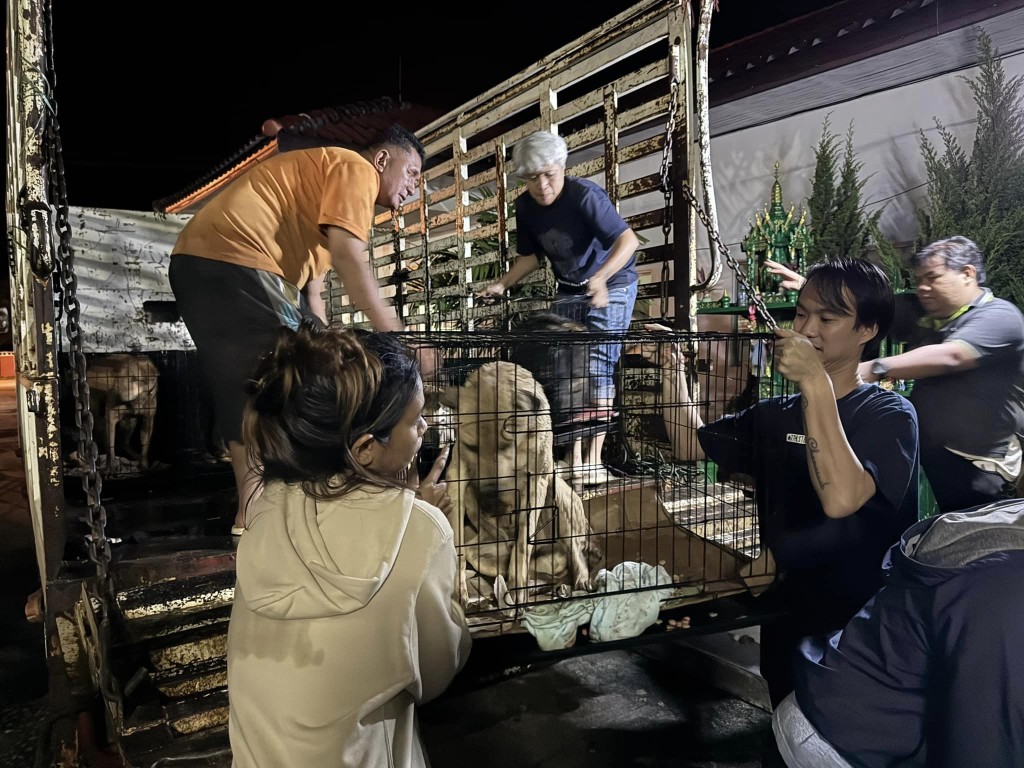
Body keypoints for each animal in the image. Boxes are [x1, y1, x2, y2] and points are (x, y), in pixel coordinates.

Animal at [440, 362, 598, 606]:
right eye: (471, 447)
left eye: (505, 445)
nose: (489, 500)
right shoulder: (458, 480)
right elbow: (458, 543)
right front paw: (459, 591)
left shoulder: (537, 481)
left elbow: (523, 542)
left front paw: (517, 586)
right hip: (485, 552)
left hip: (559, 494)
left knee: (575, 554)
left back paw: (579, 581)